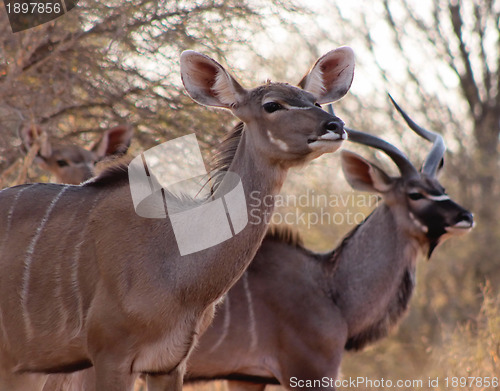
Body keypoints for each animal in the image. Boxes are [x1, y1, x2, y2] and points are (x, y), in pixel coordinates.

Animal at [0, 47, 356, 390]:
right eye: (272, 105)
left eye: (315, 101)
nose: (335, 126)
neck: (179, 265)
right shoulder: (111, 355)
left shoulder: (169, 364)